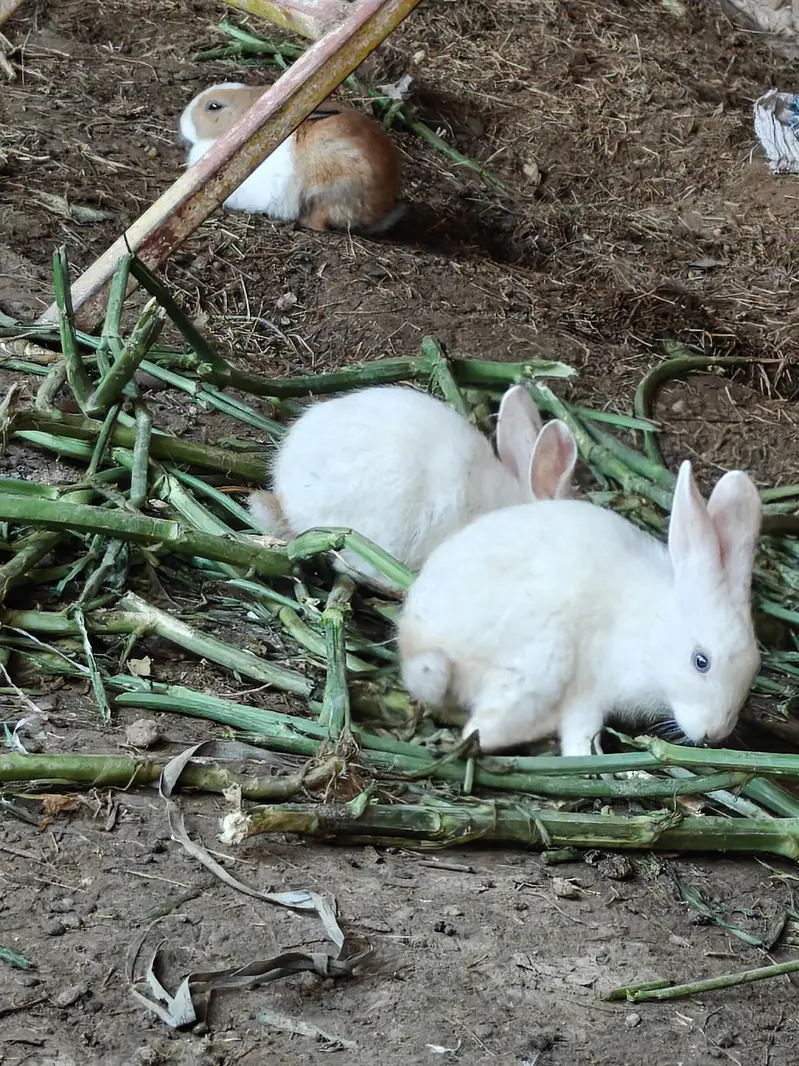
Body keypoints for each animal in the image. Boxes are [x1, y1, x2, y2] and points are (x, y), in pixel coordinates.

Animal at [398, 460, 762, 756]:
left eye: (754, 667)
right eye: (701, 661)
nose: (714, 733)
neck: (649, 632)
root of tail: (415, 641)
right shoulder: (591, 691)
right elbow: (580, 733)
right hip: (543, 664)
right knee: (480, 731)